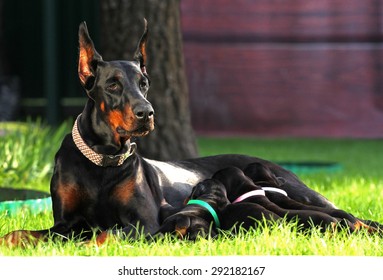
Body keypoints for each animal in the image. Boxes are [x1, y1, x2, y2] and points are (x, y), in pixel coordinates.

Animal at [0, 20, 368, 247]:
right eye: (113, 84)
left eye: (144, 83)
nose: (146, 113)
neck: (101, 160)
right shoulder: (65, 221)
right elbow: (21, 233)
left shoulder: (142, 222)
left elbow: (106, 234)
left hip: (301, 192)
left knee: (348, 216)